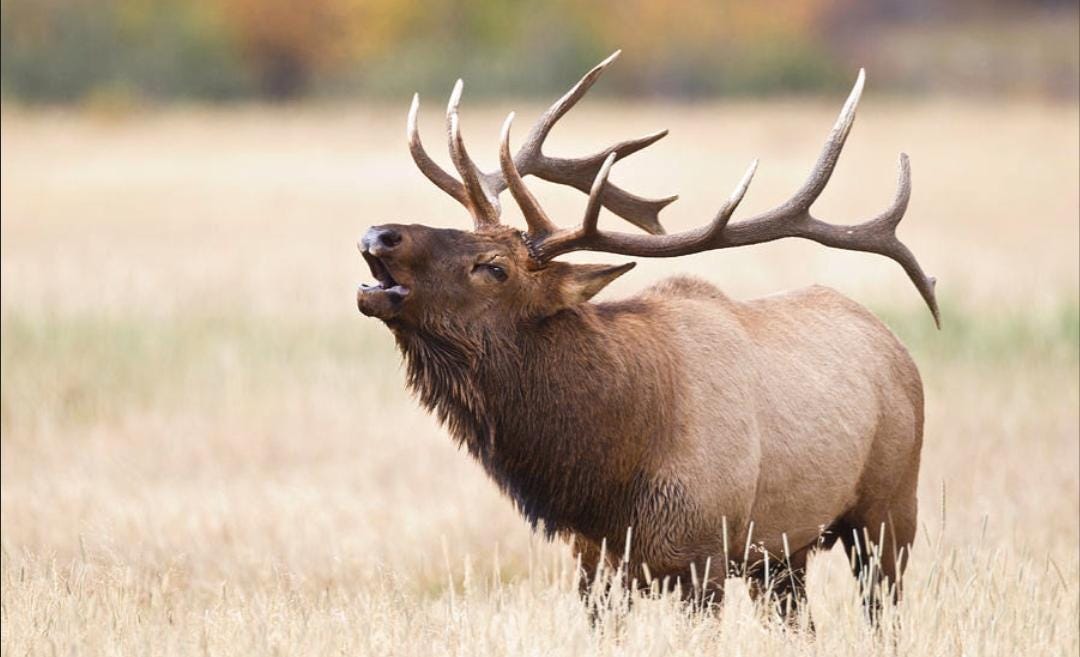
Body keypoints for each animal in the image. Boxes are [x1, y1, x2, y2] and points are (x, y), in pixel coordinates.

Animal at [355, 52, 938, 624]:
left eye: (495, 267)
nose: (380, 234)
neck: (609, 475)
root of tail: (896, 347)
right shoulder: (593, 564)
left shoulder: (703, 555)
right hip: (782, 553)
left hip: (890, 509)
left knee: (883, 612)